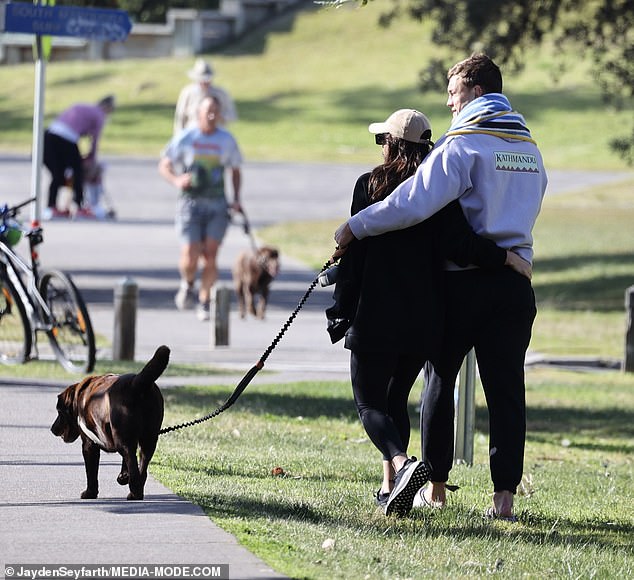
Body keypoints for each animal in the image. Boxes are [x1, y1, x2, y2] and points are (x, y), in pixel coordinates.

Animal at [50, 344, 168, 498]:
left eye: (59, 411)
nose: (52, 429)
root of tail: (137, 384)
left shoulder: (89, 444)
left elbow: (91, 472)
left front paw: (90, 493)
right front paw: (123, 476)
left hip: (122, 439)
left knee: (132, 461)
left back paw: (134, 491)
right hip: (148, 438)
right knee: (142, 463)